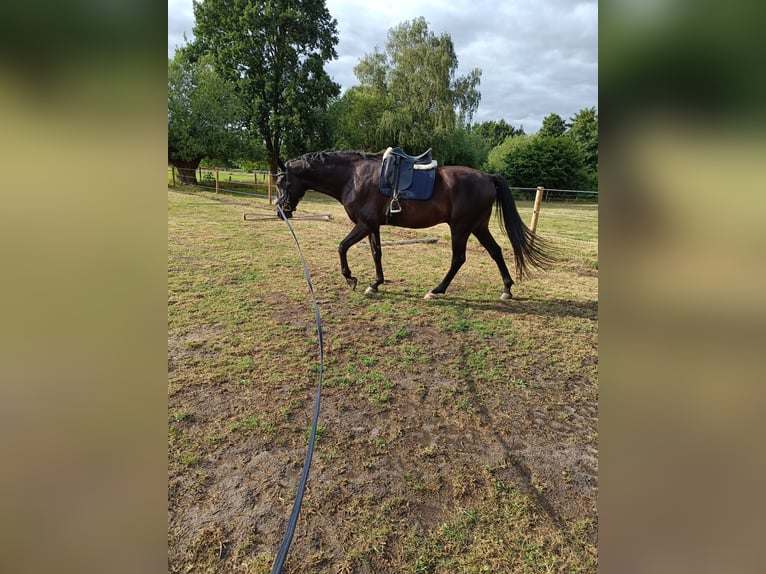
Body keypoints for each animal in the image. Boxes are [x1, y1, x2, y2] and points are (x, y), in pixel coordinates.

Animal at [275, 150, 554, 300]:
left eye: (281, 182)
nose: (281, 211)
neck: (353, 177)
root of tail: (487, 176)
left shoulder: (364, 224)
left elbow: (342, 247)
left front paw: (350, 278)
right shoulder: (373, 226)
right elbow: (376, 253)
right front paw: (375, 283)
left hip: (461, 227)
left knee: (458, 259)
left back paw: (437, 290)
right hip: (478, 226)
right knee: (495, 251)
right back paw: (506, 289)